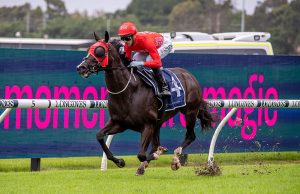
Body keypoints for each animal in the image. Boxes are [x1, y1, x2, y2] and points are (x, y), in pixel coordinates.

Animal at [77, 30, 213, 176]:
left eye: (99, 51)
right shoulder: (119, 123)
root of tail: (189, 75)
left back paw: (175, 159)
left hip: (190, 112)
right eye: (88, 49)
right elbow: (99, 136)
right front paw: (120, 161)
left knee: (190, 136)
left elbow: (142, 154)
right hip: (159, 122)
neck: (128, 91)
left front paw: (158, 154)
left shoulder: (147, 125)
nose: (81, 67)